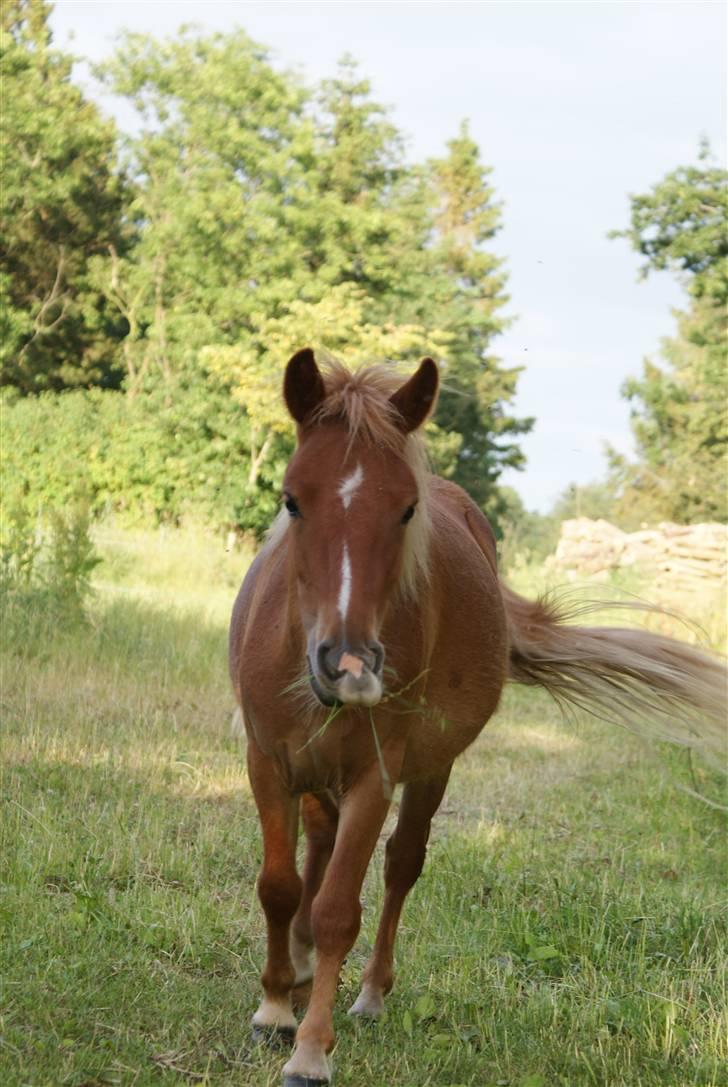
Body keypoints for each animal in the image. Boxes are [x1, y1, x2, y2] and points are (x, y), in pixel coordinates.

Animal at [231, 350, 725, 1087]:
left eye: (407, 508)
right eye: (292, 500)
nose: (347, 665)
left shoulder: (376, 779)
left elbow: (339, 909)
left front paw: (311, 1047)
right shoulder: (267, 762)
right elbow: (279, 887)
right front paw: (273, 1005)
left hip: (431, 769)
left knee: (401, 864)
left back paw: (368, 991)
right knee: (318, 845)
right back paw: (297, 968)